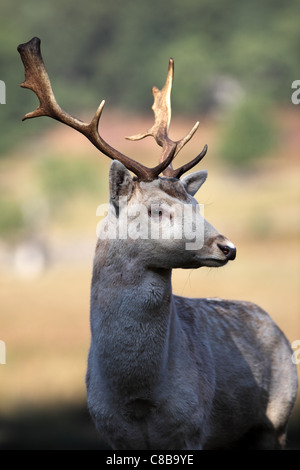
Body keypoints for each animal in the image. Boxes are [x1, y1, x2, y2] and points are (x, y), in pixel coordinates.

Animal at [18, 37, 298, 452]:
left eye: (197, 203)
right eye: (157, 210)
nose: (228, 246)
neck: (137, 397)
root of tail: (277, 327)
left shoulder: (192, 428)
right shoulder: (109, 431)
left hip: (277, 416)